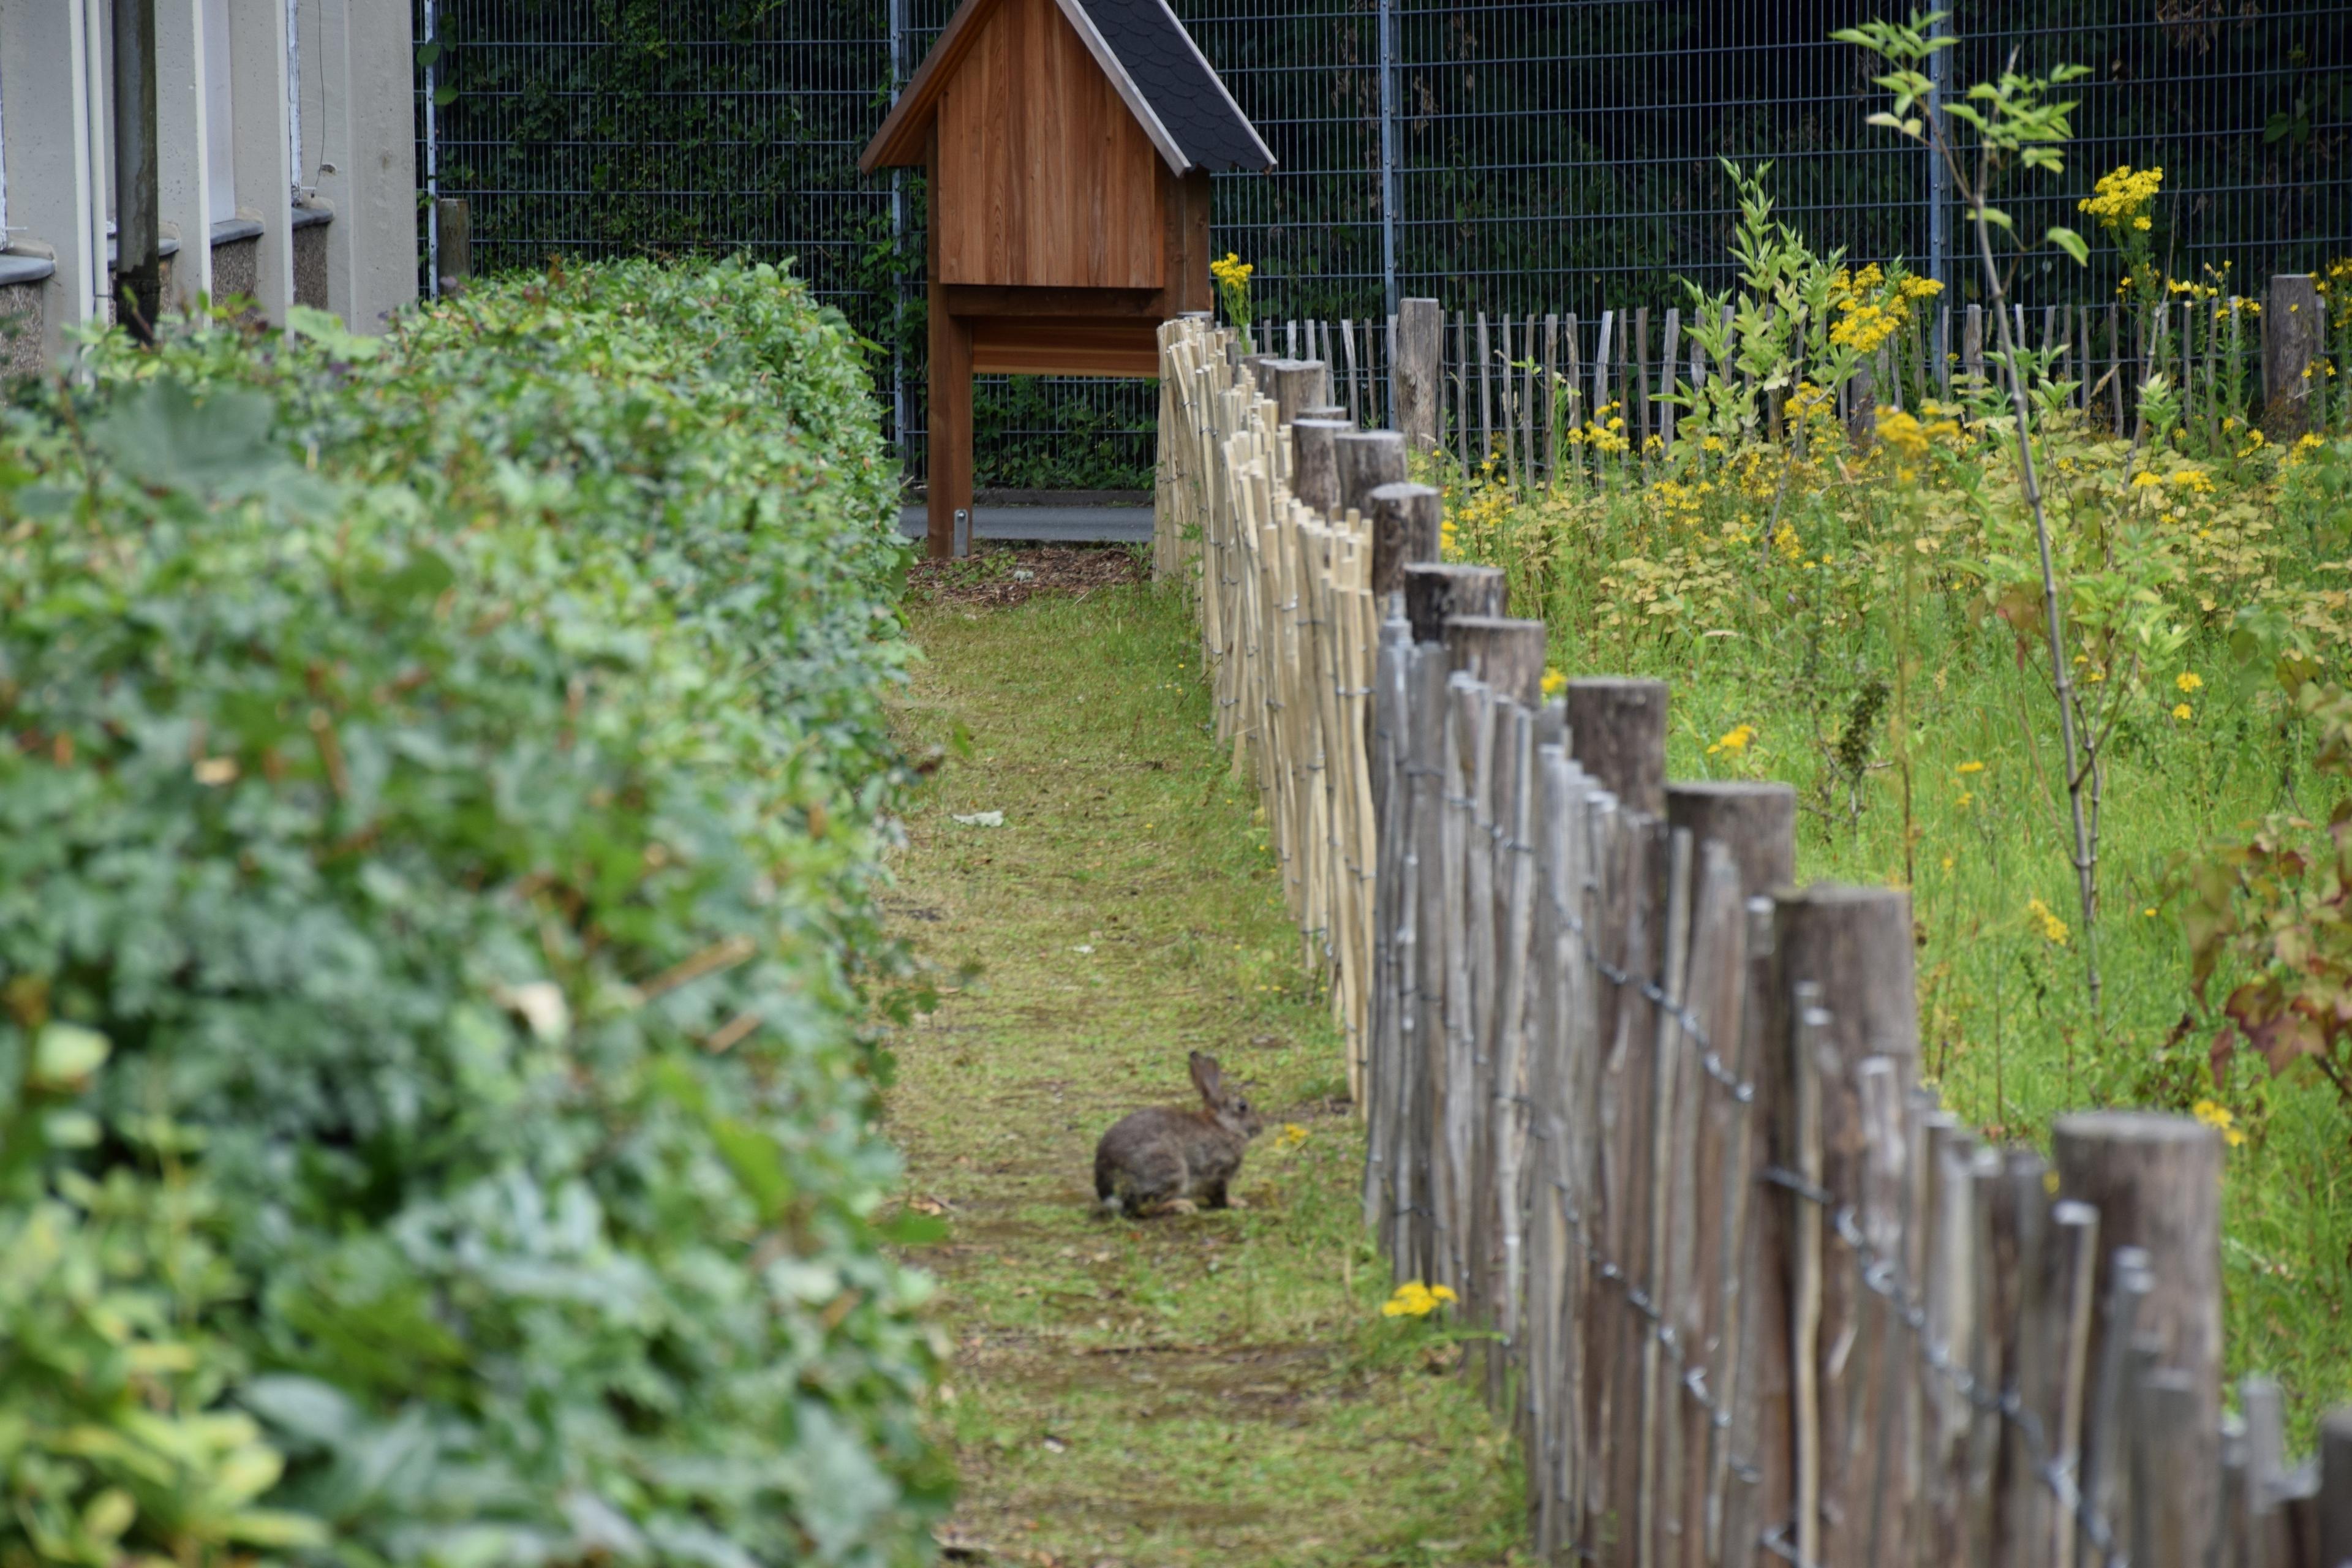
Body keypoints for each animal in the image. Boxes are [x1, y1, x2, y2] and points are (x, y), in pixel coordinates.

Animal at [1091, 1048, 1261, 1222]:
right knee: (1143, 1208)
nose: (1259, 1127)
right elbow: (1219, 1196)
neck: (1222, 1125)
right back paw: (1182, 1206)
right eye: (1243, 1106)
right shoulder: (1218, 1172)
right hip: (1168, 1169)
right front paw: (1236, 1203)